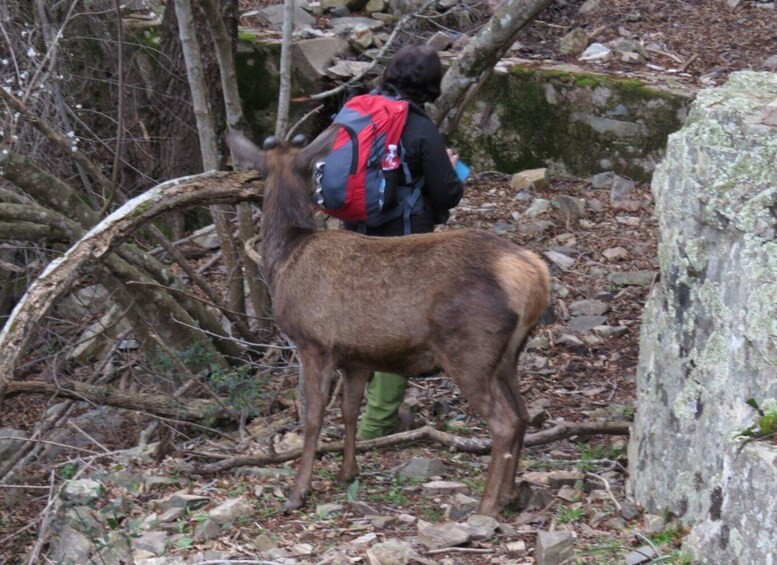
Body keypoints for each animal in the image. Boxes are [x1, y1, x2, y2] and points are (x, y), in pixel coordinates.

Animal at [224, 128, 552, 516]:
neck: (285, 258)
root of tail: (534, 275)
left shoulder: (313, 342)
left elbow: (314, 416)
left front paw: (298, 492)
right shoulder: (356, 357)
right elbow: (350, 410)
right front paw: (347, 473)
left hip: (469, 348)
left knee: (505, 421)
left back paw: (486, 505)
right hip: (507, 355)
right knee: (524, 415)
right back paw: (508, 495)